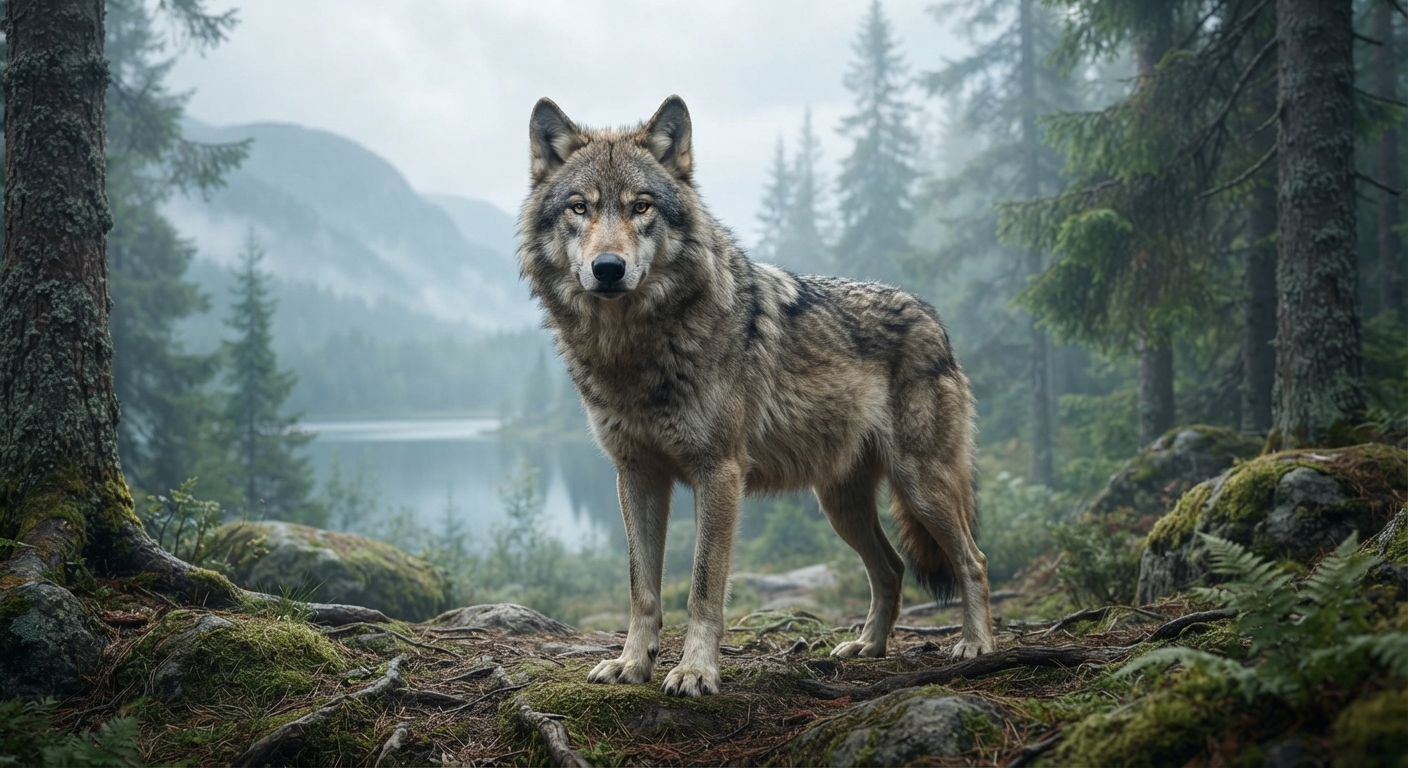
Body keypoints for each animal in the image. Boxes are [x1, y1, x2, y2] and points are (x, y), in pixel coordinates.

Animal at [517, 95, 995, 697]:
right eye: (579, 207)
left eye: (641, 206)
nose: (608, 268)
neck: (635, 350)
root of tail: (933, 317)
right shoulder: (636, 476)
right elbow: (642, 589)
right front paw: (631, 663)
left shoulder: (719, 473)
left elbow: (702, 589)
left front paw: (695, 670)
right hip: (840, 505)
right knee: (891, 568)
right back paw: (868, 646)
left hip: (920, 485)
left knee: (973, 559)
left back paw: (976, 644)